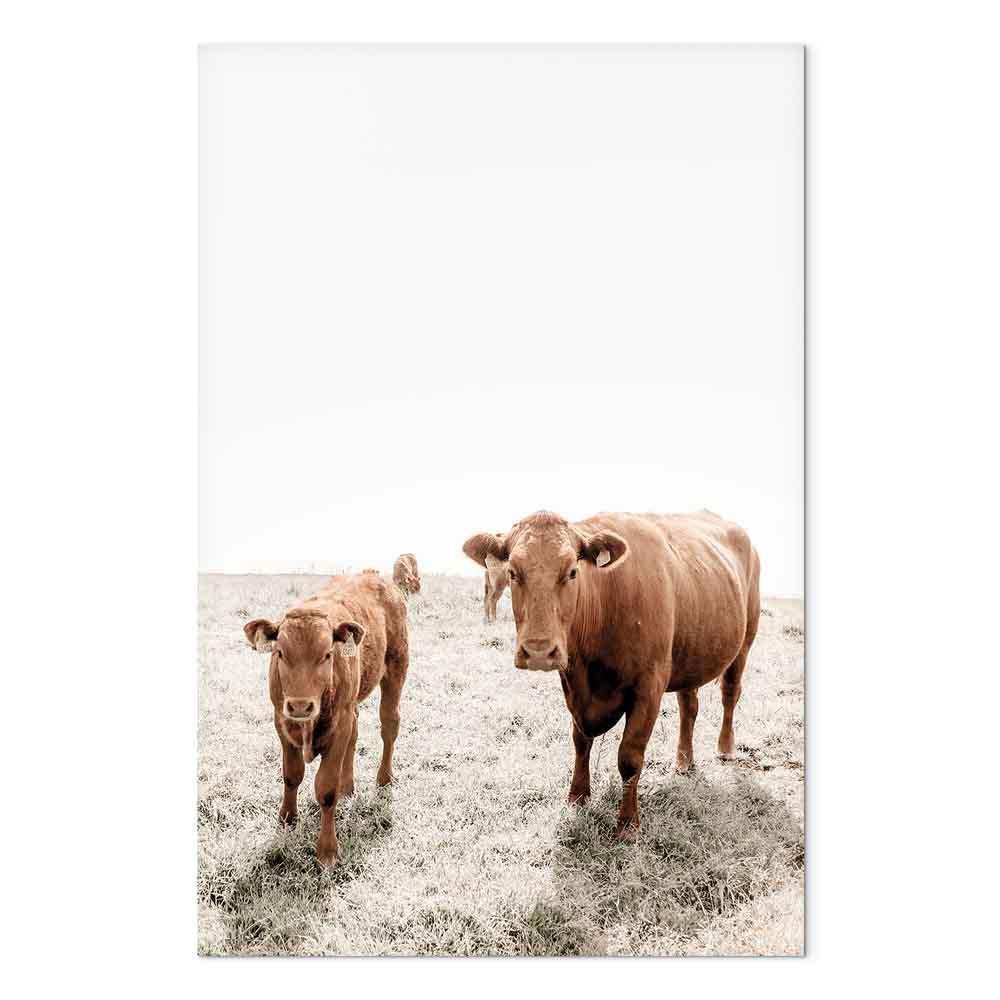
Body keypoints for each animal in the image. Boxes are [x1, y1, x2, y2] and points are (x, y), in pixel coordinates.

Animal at [243, 572, 409, 865]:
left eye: (327, 654)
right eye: (280, 653)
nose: (300, 705)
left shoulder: (338, 725)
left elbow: (326, 790)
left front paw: (327, 851)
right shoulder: (281, 721)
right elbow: (292, 775)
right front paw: (287, 819)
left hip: (396, 669)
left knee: (389, 725)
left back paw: (384, 778)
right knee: (355, 736)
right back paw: (348, 786)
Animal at [462, 510, 760, 838]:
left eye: (572, 572)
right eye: (513, 572)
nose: (539, 651)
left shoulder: (648, 688)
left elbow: (629, 757)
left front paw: (628, 824)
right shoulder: (574, 689)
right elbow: (580, 742)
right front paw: (577, 797)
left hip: (745, 640)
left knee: (729, 693)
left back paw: (725, 748)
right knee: (689, 707)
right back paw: (684, 761)